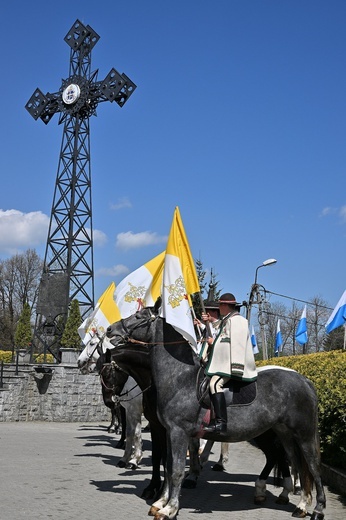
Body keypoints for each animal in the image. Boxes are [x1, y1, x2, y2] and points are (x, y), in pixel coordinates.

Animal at [104, 298, 324, 520]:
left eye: (138, 317)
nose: (110, 329)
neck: (180, 378)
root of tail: (305, 381)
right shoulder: (168, 431)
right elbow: (168, 465)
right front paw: (159, 502)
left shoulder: (178, 432)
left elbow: (176, 470)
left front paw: (170, 508)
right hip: (284, 434)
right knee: (294, 462)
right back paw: (297, 503)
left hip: (303, 435)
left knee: (312, 466)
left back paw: (316, 508)